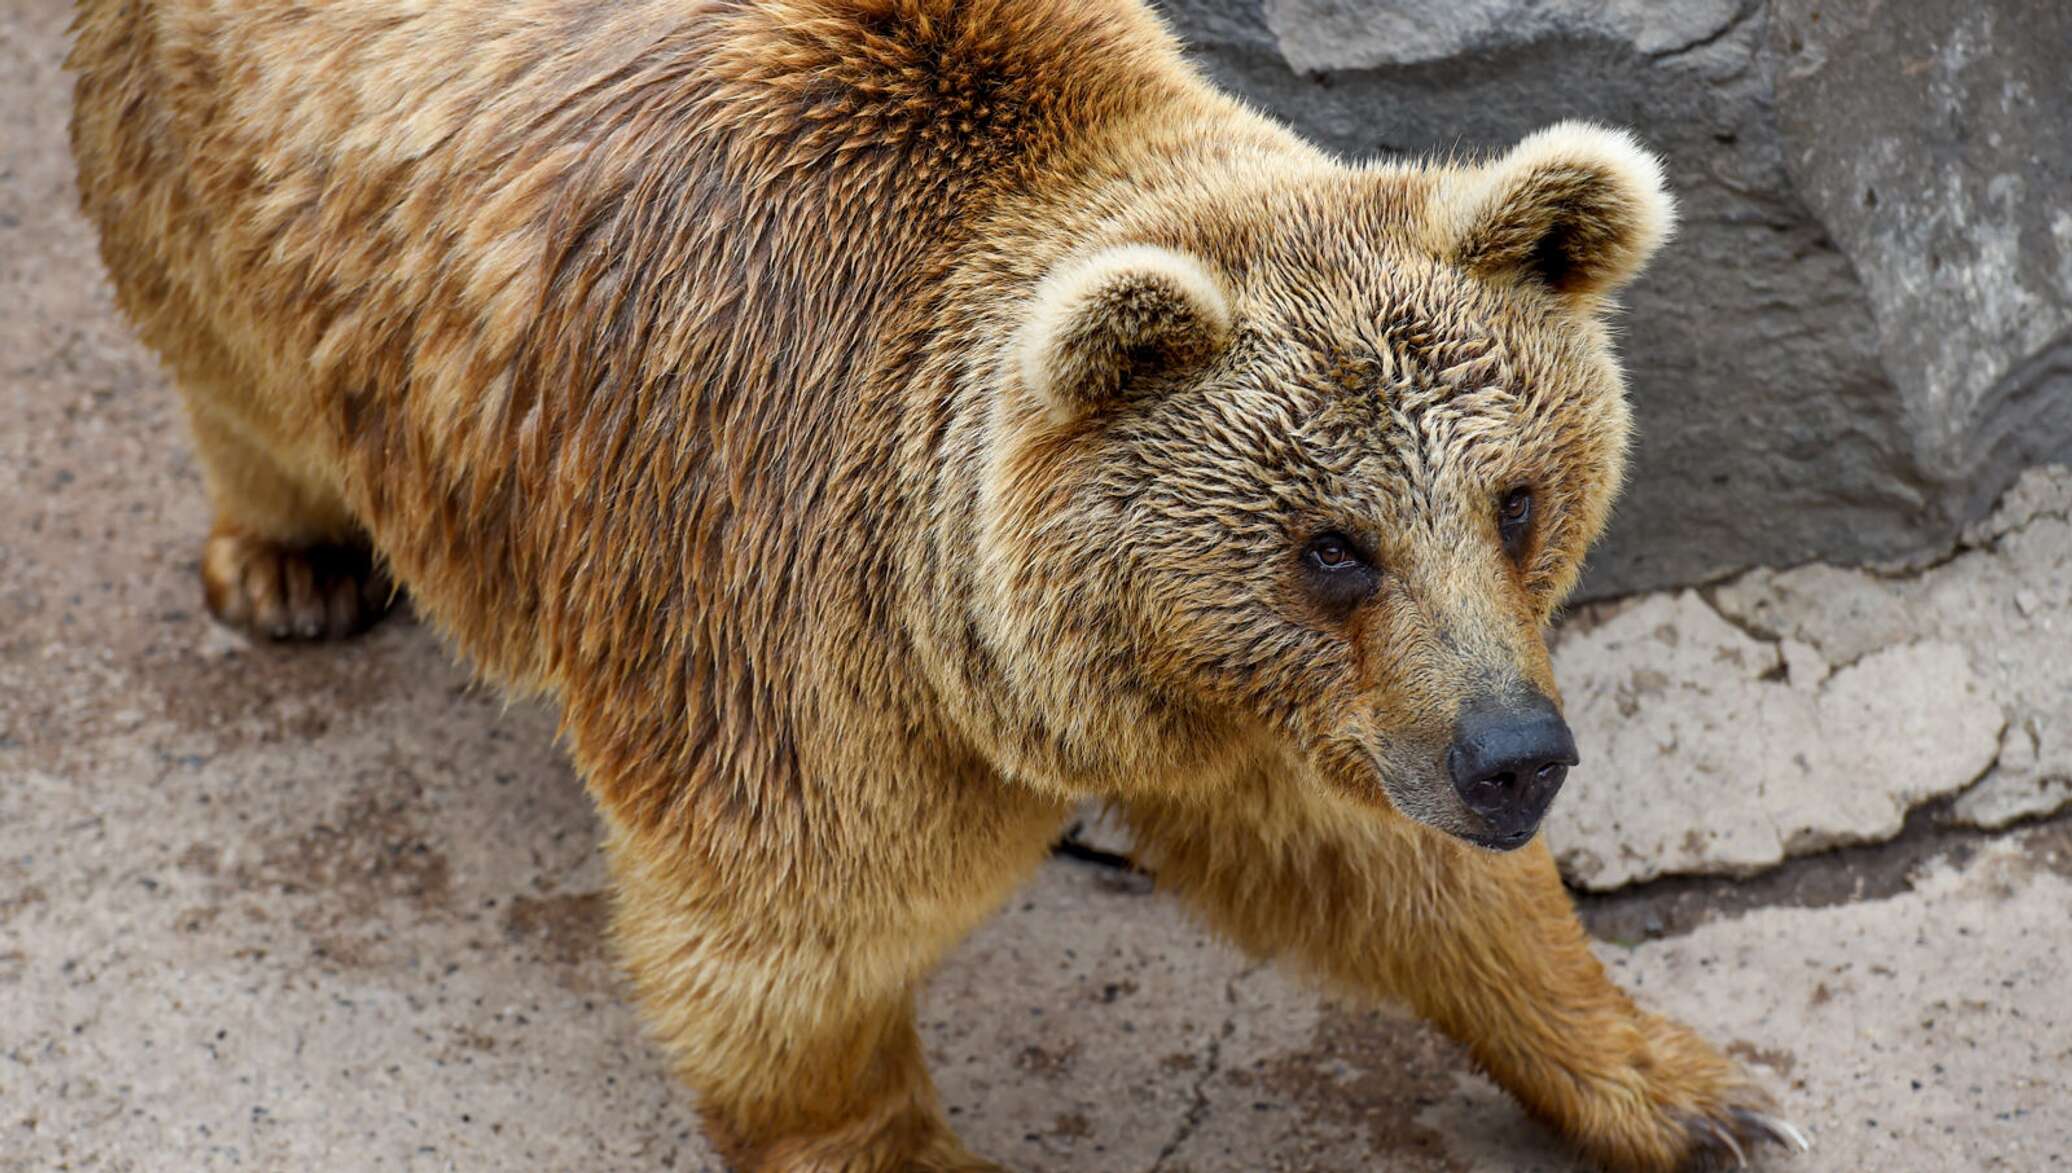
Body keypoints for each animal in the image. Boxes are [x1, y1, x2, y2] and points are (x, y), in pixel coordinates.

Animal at [73, 0, 1806, 1168]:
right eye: (1333, 545)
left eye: (1517, 500)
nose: (1518, 755)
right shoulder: (789, 604)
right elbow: (786, 937)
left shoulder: (1295, 704)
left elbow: (1398, 875)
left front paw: (1699, 1090)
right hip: (231, 187)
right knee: (228, 371)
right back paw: (287, 562)